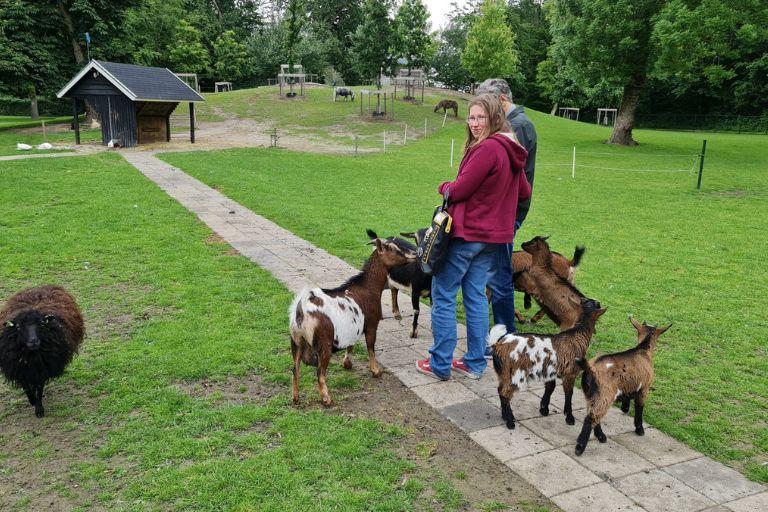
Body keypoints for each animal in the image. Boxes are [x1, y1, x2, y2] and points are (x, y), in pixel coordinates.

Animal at [290, 234, 420, 406]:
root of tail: (301, 311)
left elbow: (350, 345)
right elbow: (371, 347)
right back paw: (326, 398)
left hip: (296, 343)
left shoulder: (351, 326)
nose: (414, 253)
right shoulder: (371, 325)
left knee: (295, 370)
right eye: (393, 249)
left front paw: (347, 364)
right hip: (324, 344)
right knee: (320, 371)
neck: (367, 287)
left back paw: (296, 398)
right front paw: (375, 371)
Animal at [486, 296, 608, 428]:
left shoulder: (551, 370)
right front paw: (569, 417)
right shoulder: (570, 373)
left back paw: (505, 416)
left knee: (500, 390)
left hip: (503, 372)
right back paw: (510, 422)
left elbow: (550, 387)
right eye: (597, 304)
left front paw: (544, 409)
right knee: (505, 392)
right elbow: (569, 393)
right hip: (516, 373)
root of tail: (498, 345)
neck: (577, 334)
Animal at [572, 316, 668, 456]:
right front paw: (640, 429)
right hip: (605, 394)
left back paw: (601, 437)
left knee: (593, 414)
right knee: (591, 417)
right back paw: (580, 447)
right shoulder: (645, 388)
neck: (643, 349)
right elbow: (639, 407)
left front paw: (625, 408)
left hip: (590, 394)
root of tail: (590, 368)